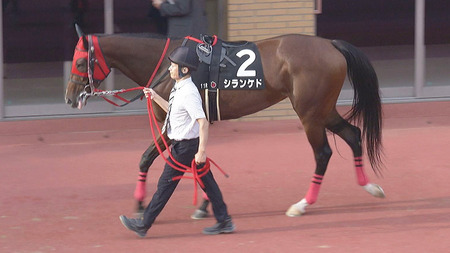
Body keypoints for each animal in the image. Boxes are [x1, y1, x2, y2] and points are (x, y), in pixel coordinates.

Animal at [65, 31, 384, 216]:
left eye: (80, 63)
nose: (70, 97)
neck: (169, 64)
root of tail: (330, 44)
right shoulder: (196, 125)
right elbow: (196, 161)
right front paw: (204, 204)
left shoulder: (176, 125)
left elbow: (146, 157)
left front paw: (142, 203)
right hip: (322, 109)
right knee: (353, 134)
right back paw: (369, 186)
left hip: (309, 113)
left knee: (323, 154)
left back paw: (302, 204)